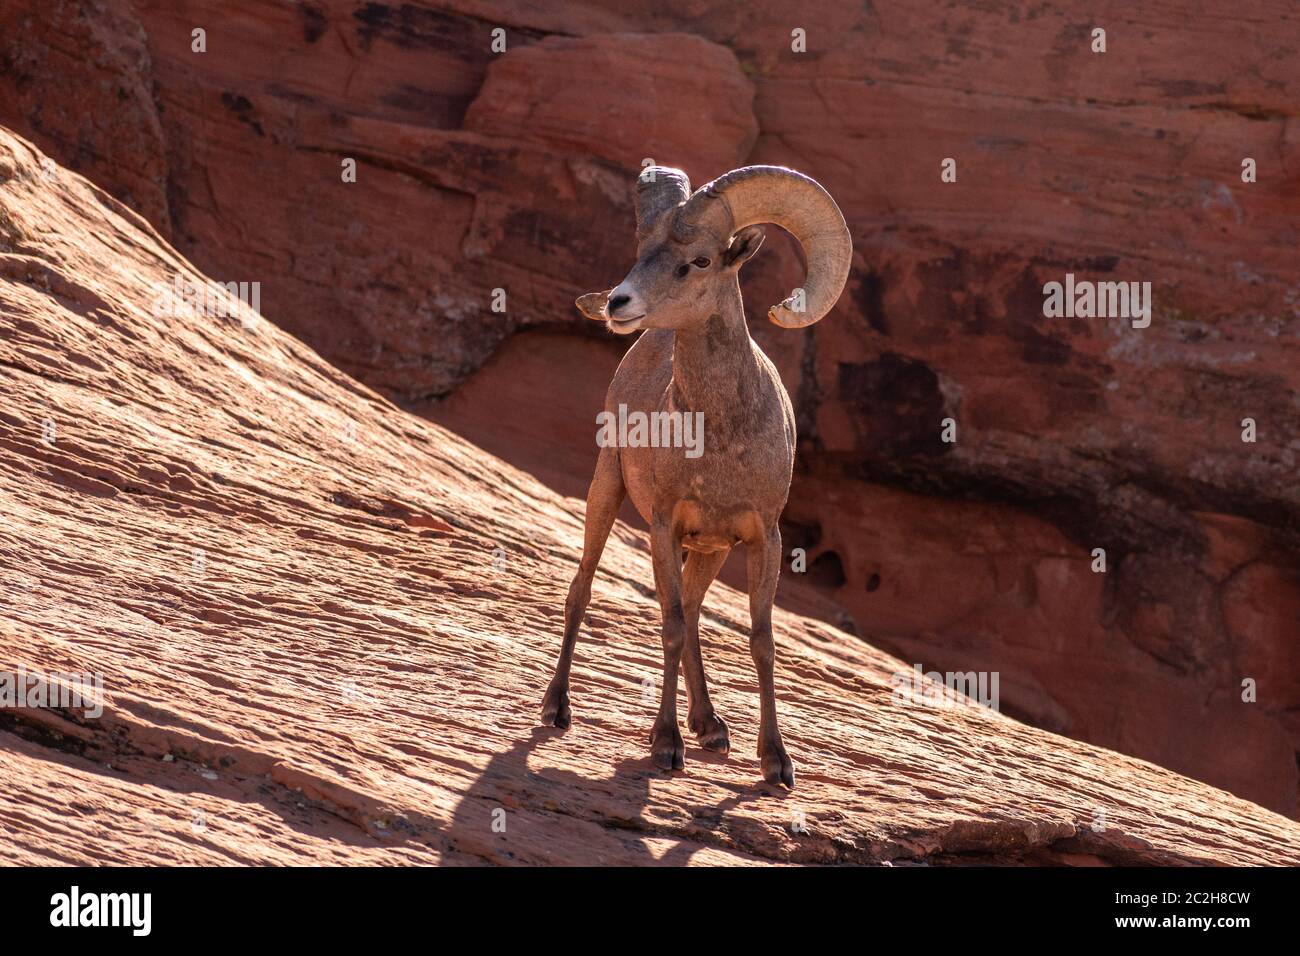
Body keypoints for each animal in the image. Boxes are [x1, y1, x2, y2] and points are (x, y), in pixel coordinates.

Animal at [540, 164, 852, 787]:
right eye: (642, 251)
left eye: (700, 261)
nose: (618, 303)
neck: (720, 440)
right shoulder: (663, 526)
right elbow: (673, 624)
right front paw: (665, 746)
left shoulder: (761, 539)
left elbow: (760, 640)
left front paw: (776, 762)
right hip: (606, 493)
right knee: (583, 588)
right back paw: (558, 708)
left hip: (710, 551)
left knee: (693, 603)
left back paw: (711, 728)